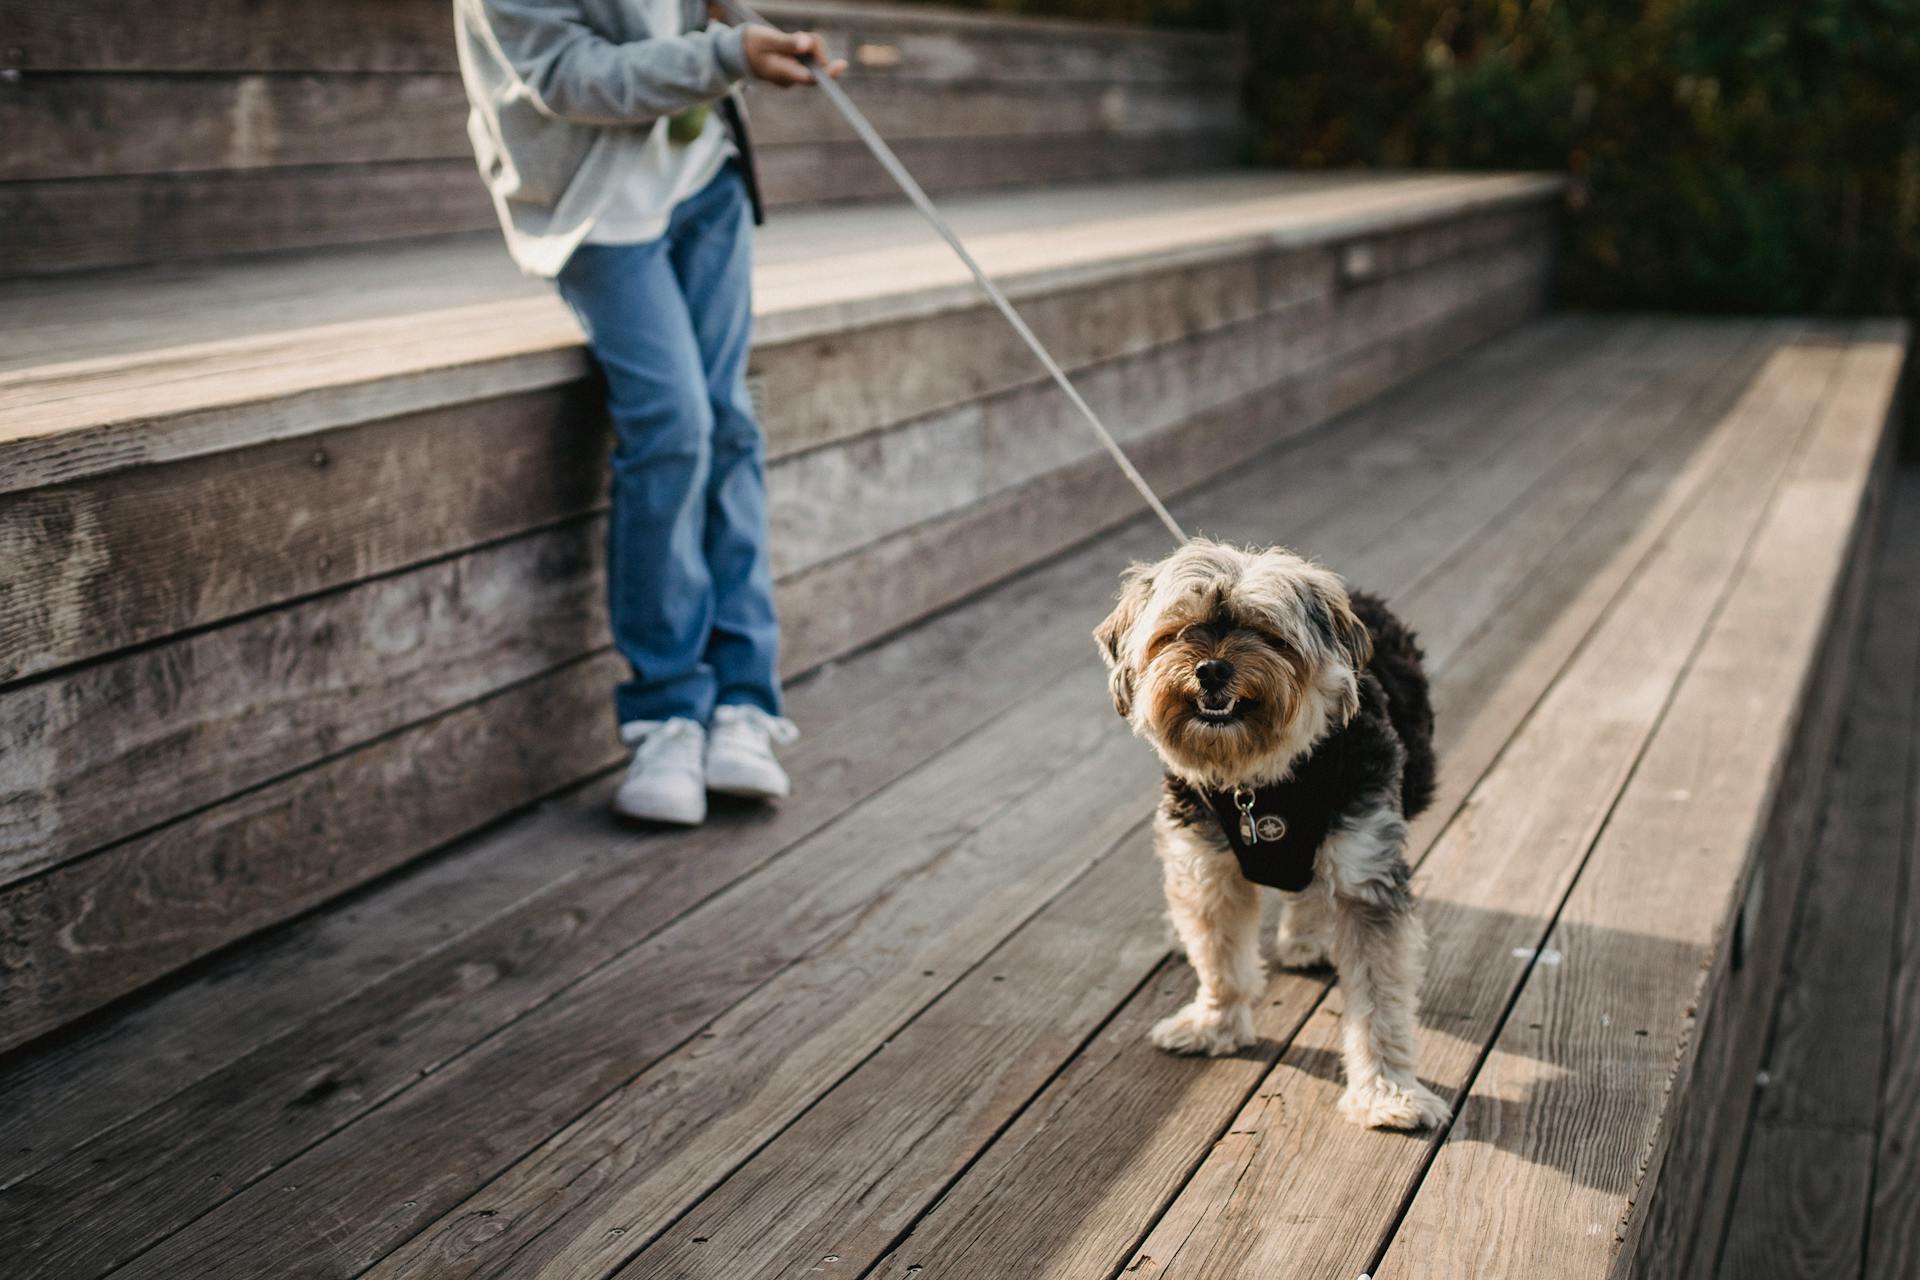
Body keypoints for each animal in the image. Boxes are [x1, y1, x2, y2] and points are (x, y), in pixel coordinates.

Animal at [1090, 541, 1443, 1128]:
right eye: (1177, 632)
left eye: (1268, 633)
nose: (1211, 669)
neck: (1260, 784)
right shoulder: (1205, 866)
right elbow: (1219, 957)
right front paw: (1214, 1026)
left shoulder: (1365, 867)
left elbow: (1379, 999)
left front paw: (1388, 1093)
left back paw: (1307, 938)